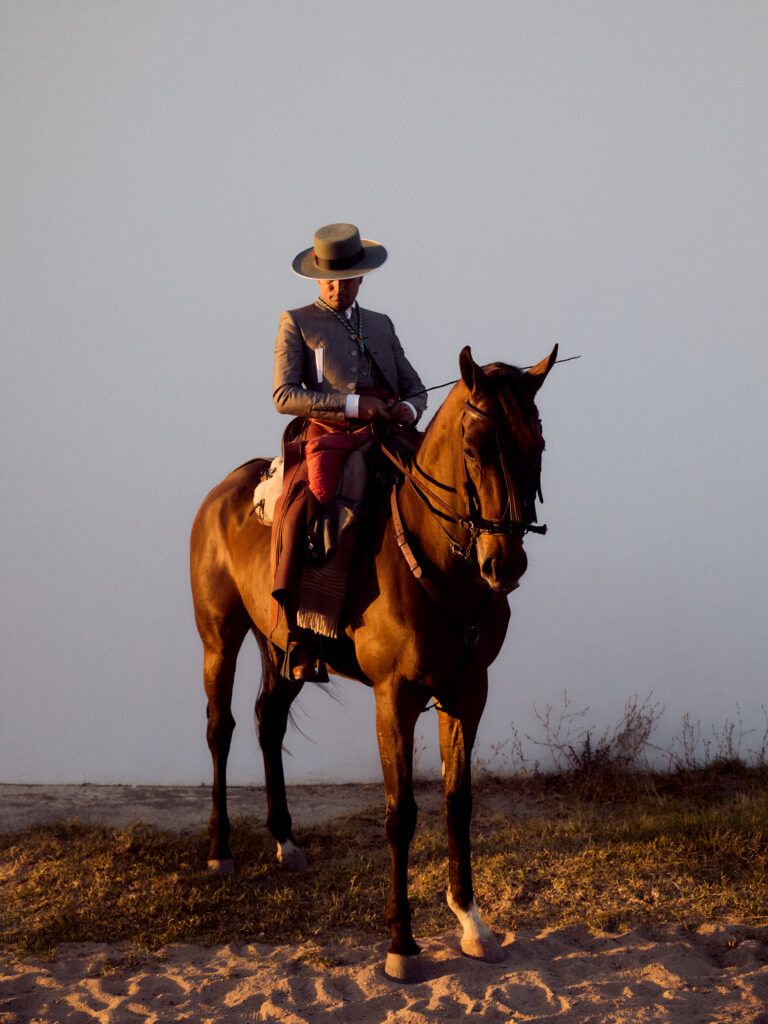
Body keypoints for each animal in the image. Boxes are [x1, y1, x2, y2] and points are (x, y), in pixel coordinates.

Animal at [189, 346, 557, 983]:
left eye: (536, 443)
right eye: (475, 447)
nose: (504, 564)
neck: (441, 564)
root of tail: (224, 492)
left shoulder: (468, 691)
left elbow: (458, 803)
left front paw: (472, 922)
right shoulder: (397, 696)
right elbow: (400, 813)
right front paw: (402, 943)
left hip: (284, 651)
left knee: (268, 722)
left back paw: (286, 841)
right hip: (221, 637)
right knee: (222, 729)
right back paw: (221, 850)